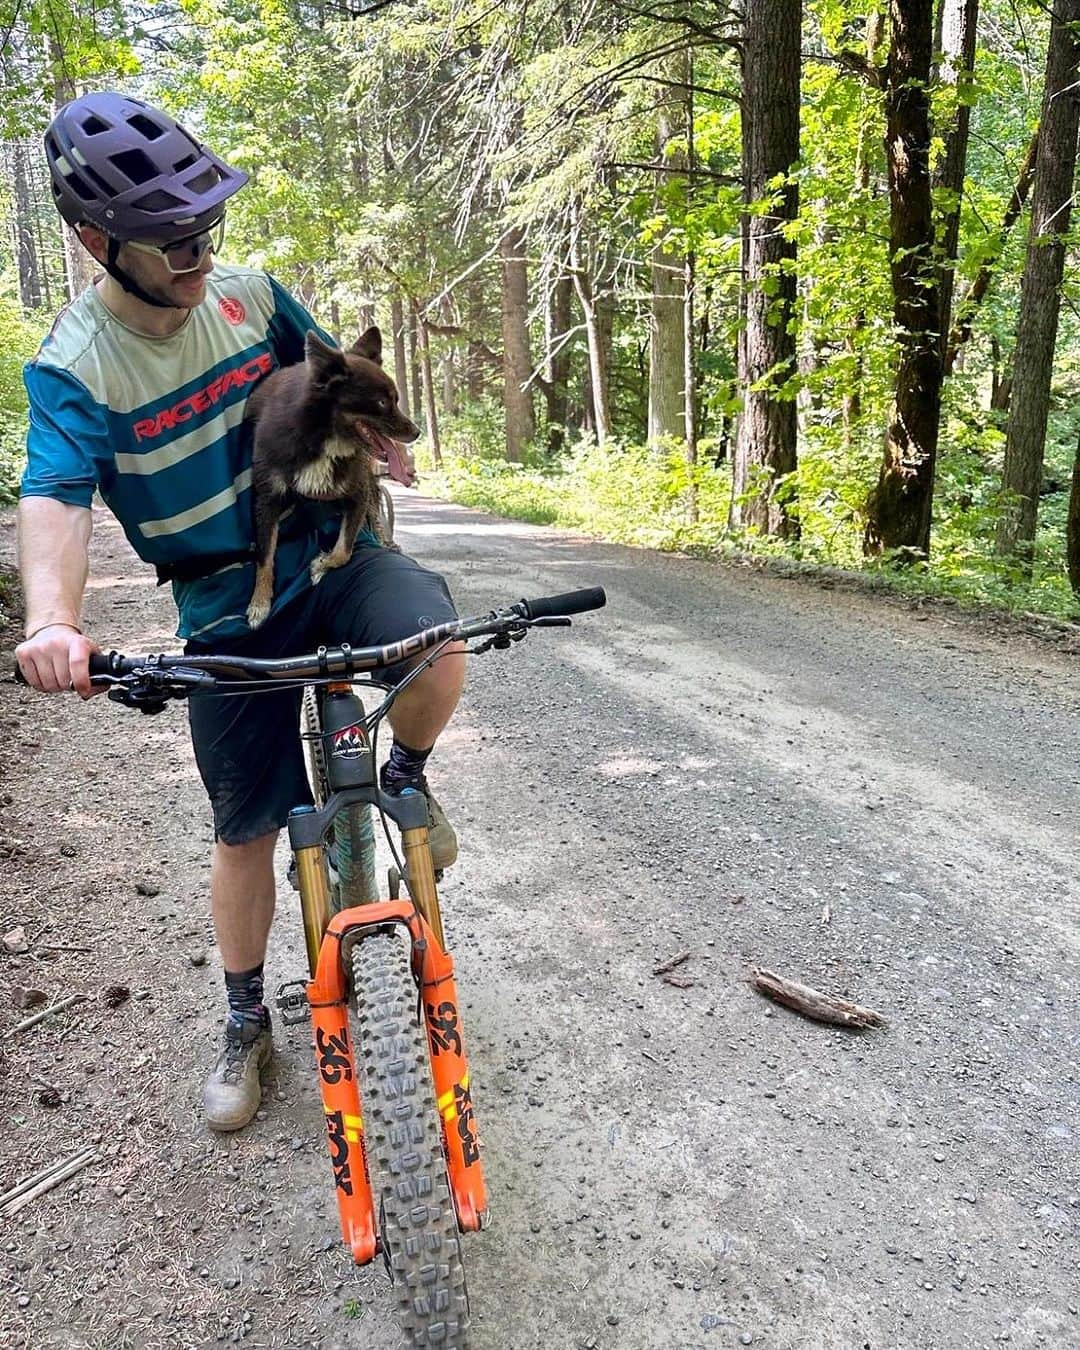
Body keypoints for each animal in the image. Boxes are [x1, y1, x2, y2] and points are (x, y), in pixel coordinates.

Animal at [243, 326, 418, 626]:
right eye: (382, 402)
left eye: (396, 399)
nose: (417, 432)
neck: (323, 440)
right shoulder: (267, 499)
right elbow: (264, 557)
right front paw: (260, 603)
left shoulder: (358, 493)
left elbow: (344, 551)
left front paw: (321, 564)